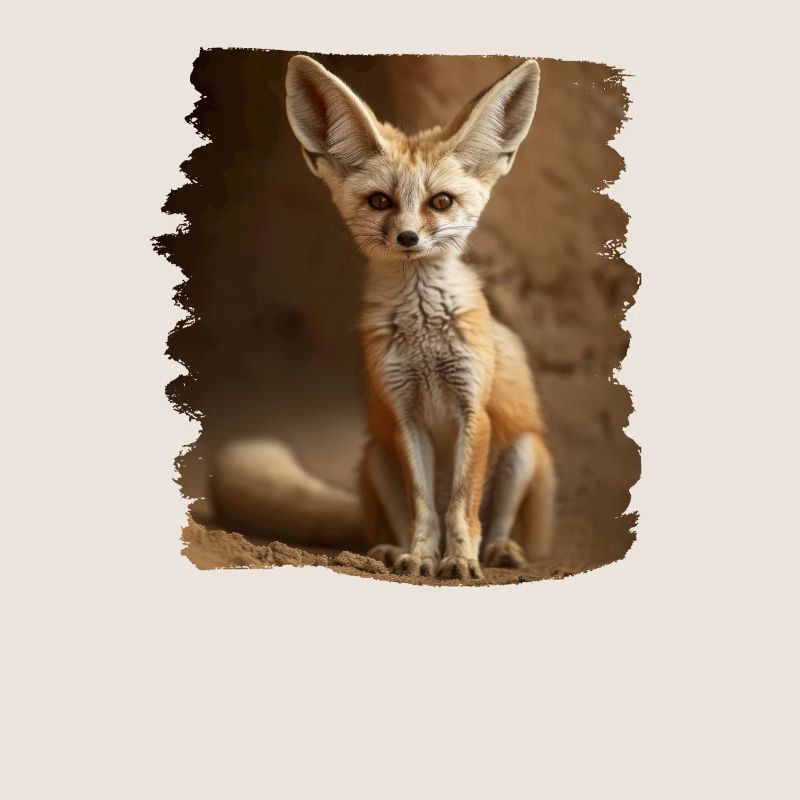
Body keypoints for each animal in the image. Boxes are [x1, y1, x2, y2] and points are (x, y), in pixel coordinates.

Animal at [210, 54, 556, 580]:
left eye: (441, 202)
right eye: (380, 201)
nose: (408, 238)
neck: (425, 337)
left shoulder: (471, 408)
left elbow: (461, 506)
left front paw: (460, 560)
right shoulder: (403, 413)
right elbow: (424, 506)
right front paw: (422, 557)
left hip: (523, 451)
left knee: (499, 525)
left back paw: (500, 551)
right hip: (377, 456)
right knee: (392, 519)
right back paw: (390, 552)